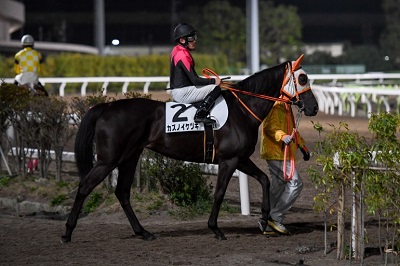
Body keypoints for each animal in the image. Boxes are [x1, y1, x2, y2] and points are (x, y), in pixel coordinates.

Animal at [61, 55, 318, 242]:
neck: (242, 110)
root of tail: (106, 107)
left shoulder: (240, 158)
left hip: (129, 158)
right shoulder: (229, 160)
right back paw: (67, 232)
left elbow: (264, 180)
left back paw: (143, 232)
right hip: (108, 159)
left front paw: (265, 220)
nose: (314, 107)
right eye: (303, 79)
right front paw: (215, 229)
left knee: (122, 192)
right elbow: (219, 193)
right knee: (85, 186)